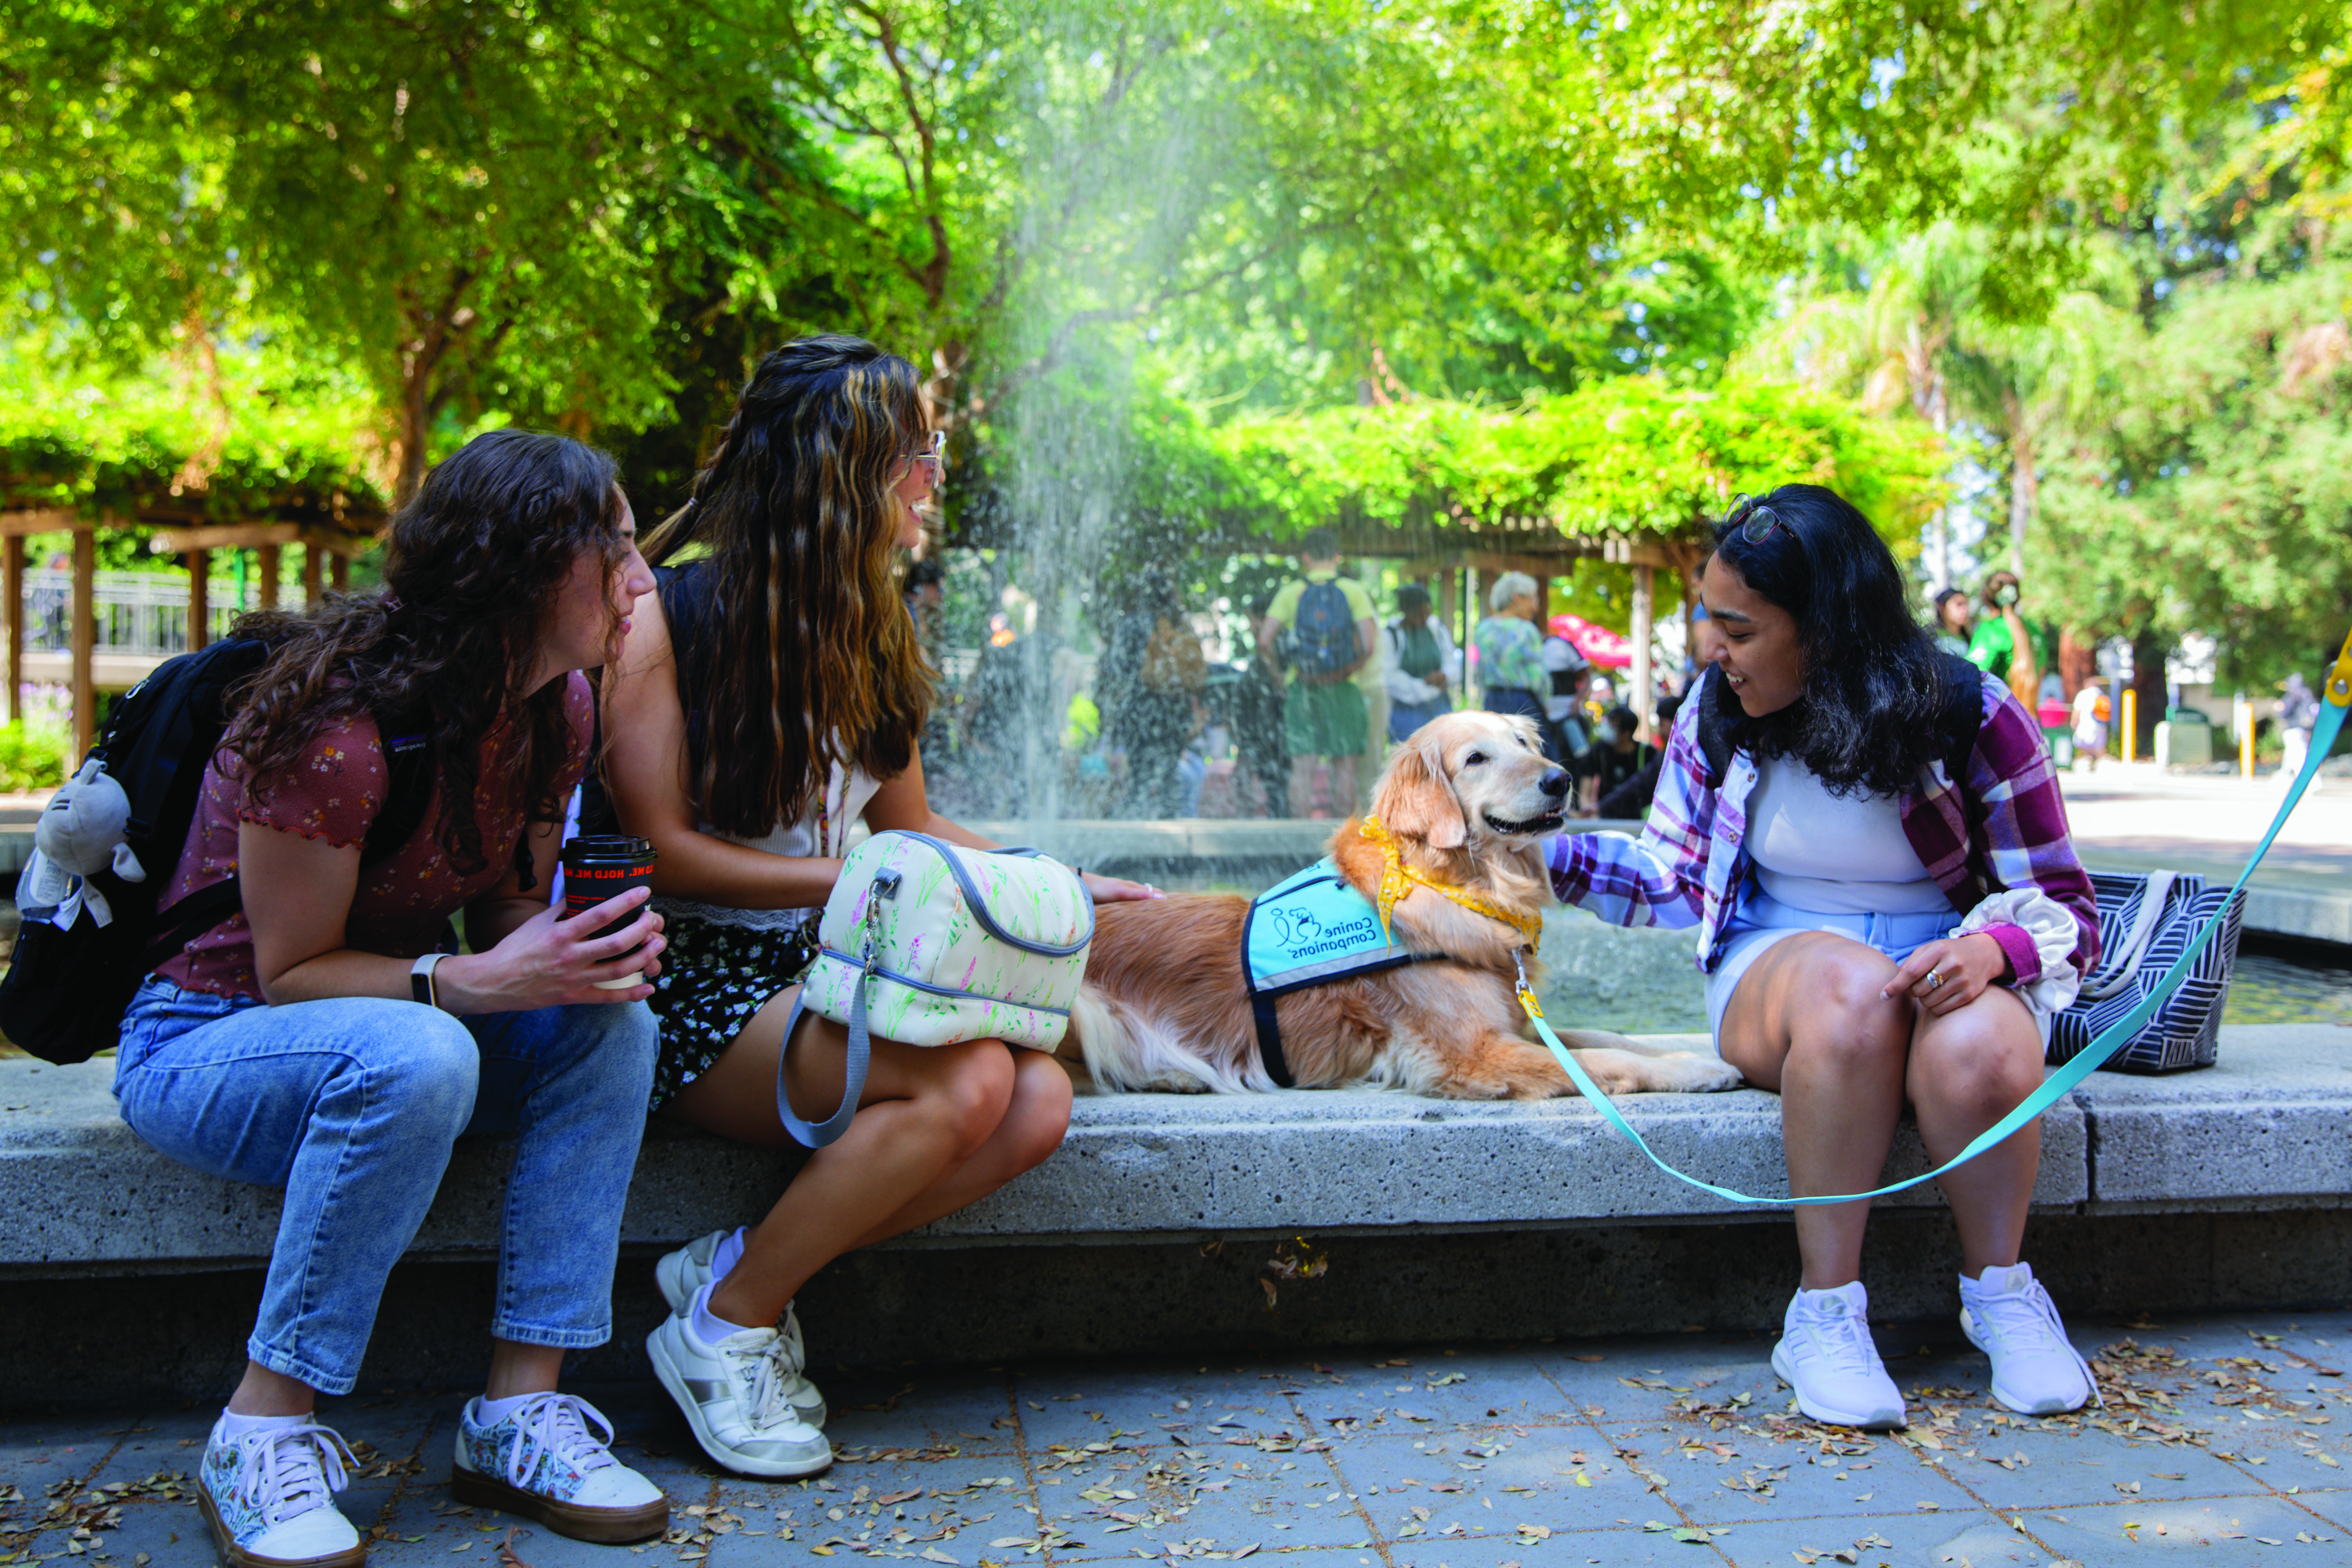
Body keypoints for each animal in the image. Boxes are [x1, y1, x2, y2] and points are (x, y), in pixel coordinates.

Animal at [1067, 714, 1750, 1100]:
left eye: (1524, 742)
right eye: (1475, 758)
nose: (1559, 779)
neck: (1458, 886)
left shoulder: (1515, 1021)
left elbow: (1612, 1037)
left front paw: (1698, 1054)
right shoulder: (1472, 1053)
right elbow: (1602, 1058)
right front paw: (1697, 1071)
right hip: (1082, 1005)